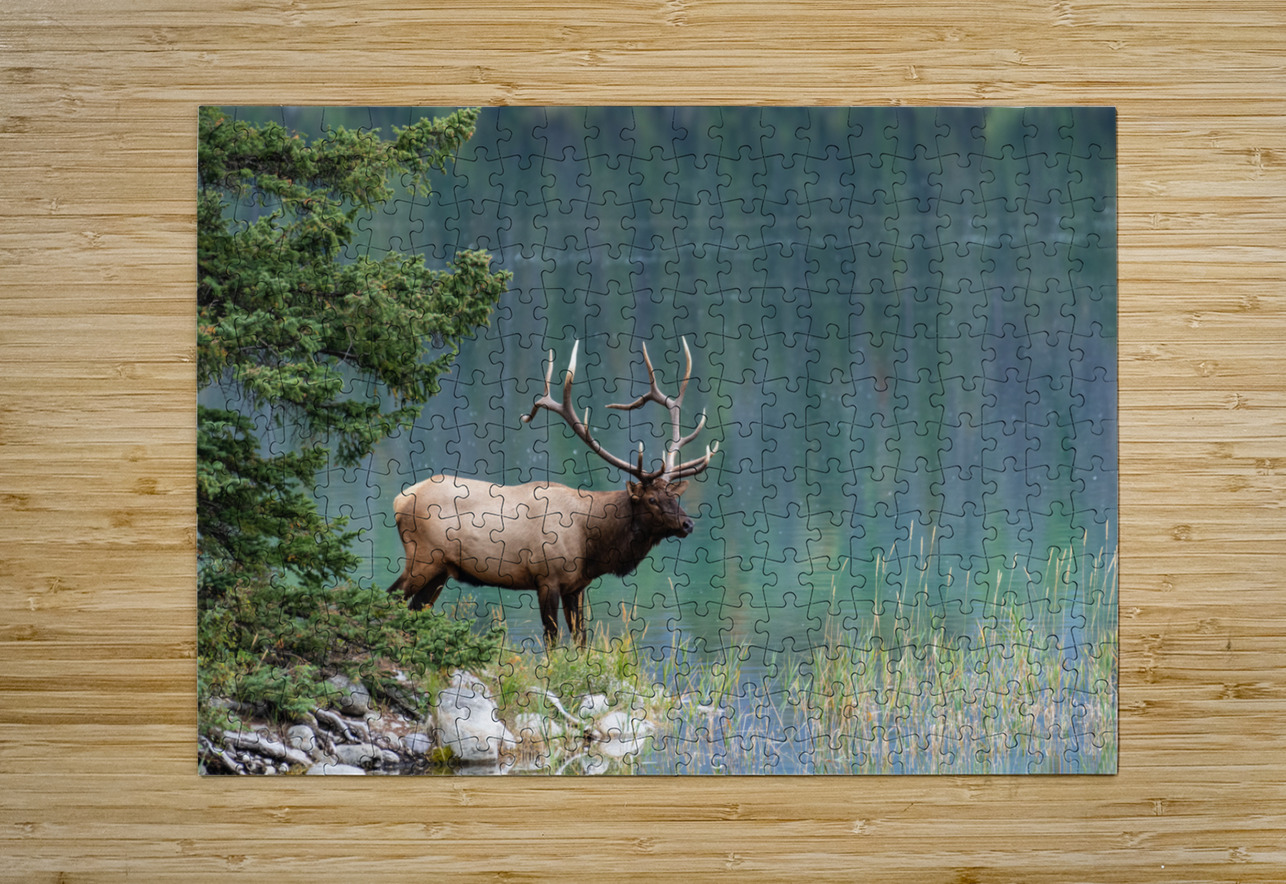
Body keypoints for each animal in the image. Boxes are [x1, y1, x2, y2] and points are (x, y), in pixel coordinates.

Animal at [388, 338, 719, 648]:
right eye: (651, 499)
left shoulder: (577, 586)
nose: (688, 524)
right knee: (391, 599)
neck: (593, 543)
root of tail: (399, 498)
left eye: (674, 496)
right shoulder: (547, 579)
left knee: (414, 609)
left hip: (441, 570)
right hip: (422, 557)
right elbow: (552, 641)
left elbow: (581, 640)